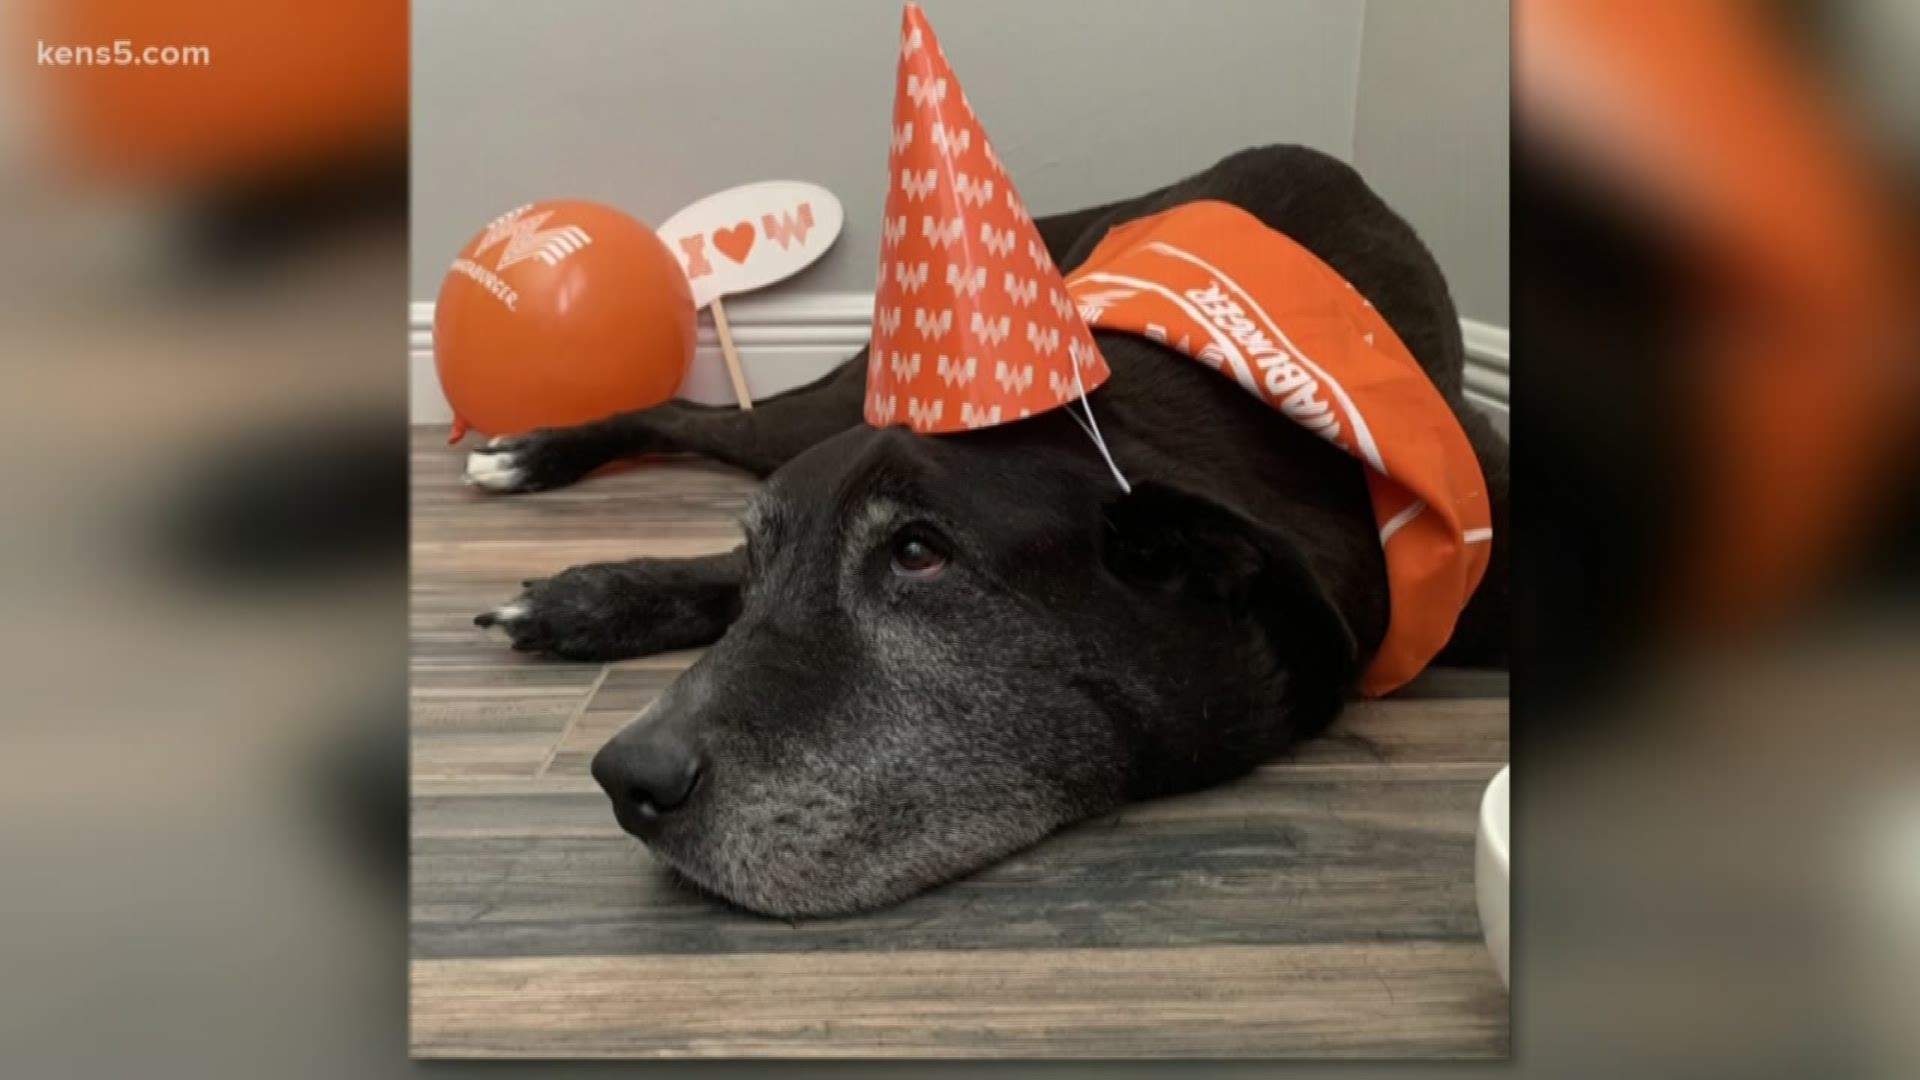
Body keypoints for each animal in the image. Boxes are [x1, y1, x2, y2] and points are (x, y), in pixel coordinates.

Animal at [468, 145, 1512, 914]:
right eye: (772, 554)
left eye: (918, 555)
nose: (624, 779)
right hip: (837, 397)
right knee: (689, 413)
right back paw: (538, 475)